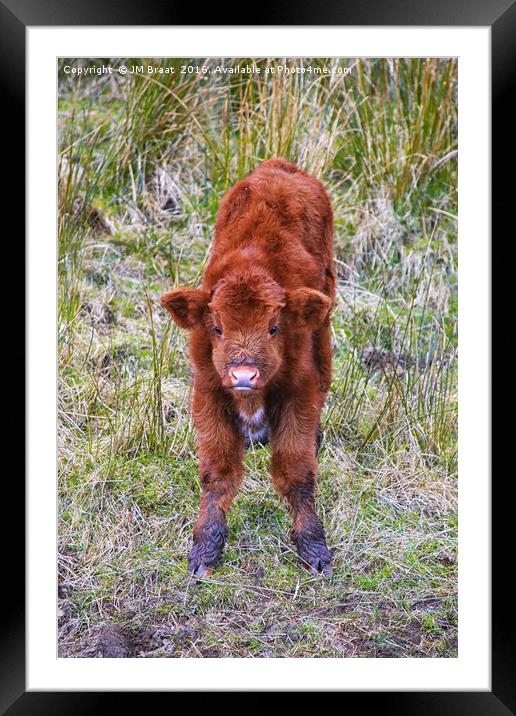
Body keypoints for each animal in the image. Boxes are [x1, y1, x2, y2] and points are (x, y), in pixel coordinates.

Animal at [162, 158, 338, 576]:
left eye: (274, 327)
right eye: (217, 327)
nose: (244, 375)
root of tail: (280, 166)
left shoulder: (298, 394)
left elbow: (296, 471)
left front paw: (314, 548)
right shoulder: (208, 393)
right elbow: (218, 473)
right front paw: (205, 550)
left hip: (326, 306)